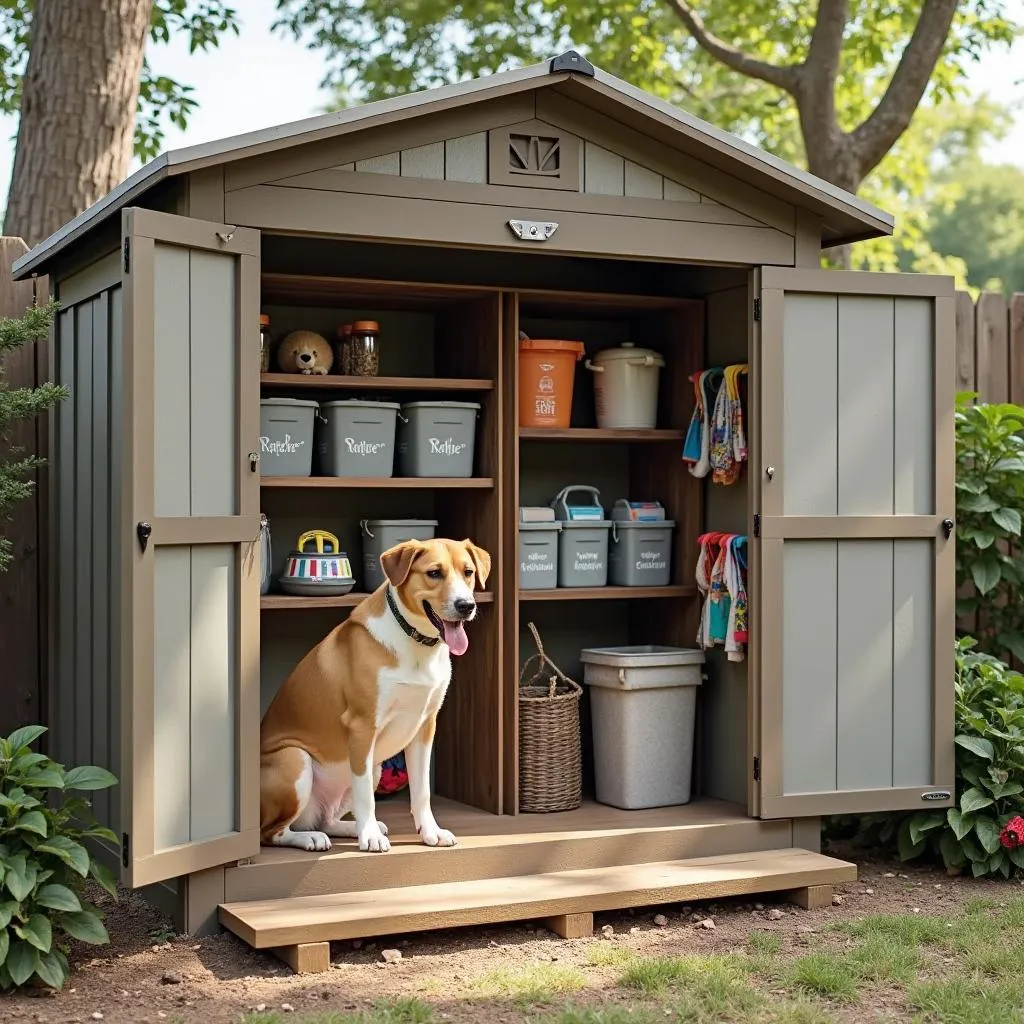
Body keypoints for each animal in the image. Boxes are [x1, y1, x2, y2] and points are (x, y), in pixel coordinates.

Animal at [260, 536, 491, 856]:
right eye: (434, 573)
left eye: (468, 572)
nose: (466, 605)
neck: (416, 644)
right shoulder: (362, 727)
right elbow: (365, 797)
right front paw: (369, 838)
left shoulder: (425, 727)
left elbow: (422, 791)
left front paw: (430, 832)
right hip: (296, 760)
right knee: (272, 832)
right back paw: (313, 838)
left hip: (377, 766)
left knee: (325, 819)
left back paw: (347, 828)